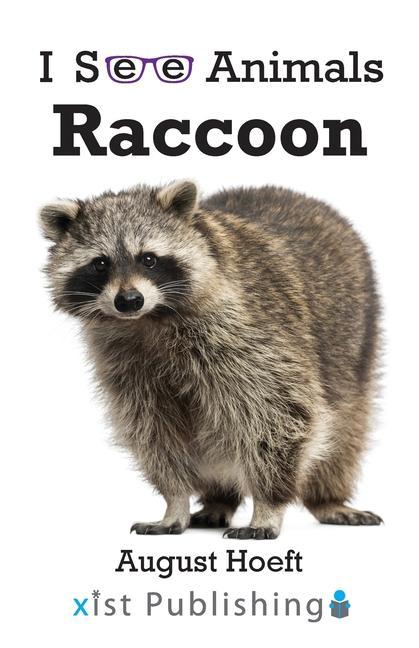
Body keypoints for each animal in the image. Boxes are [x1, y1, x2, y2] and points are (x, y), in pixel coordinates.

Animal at [40, 180, 382, 539]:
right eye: (100, 263)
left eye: (148, 259)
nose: (129, 300)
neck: (148, 320)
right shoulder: (126, 363)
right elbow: (153, 431)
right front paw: (175, 500)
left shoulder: (252, 333)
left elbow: (280, 415)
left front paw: (268, 505)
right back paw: (220, 498)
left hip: (357, 340)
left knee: (347, 427)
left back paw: (327, 497)